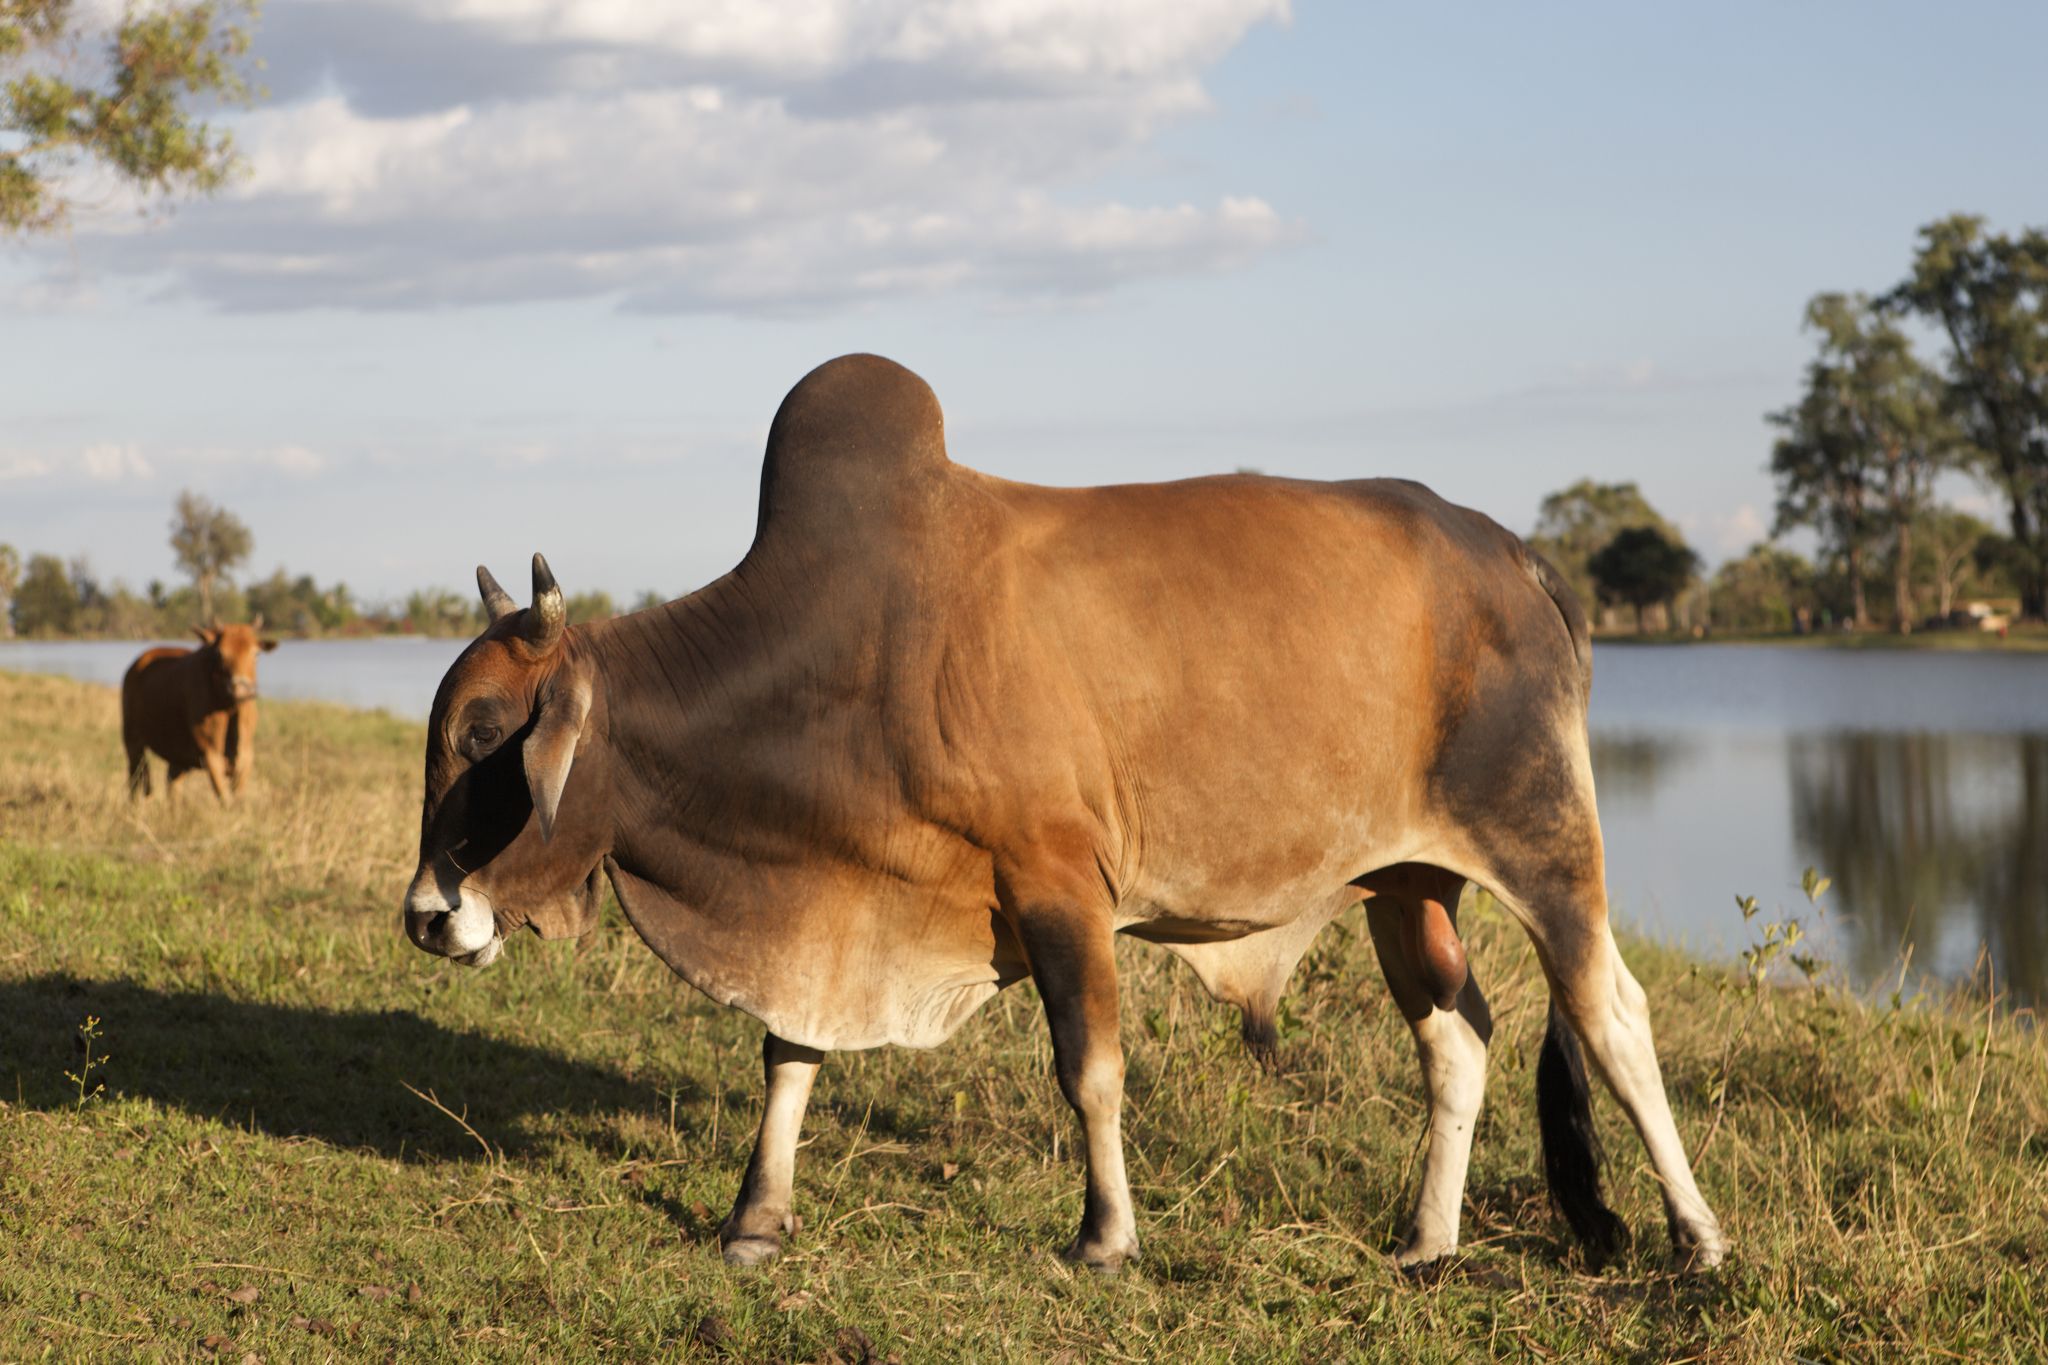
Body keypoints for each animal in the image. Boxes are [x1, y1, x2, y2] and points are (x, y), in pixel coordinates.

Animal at [123, 618, 278, 802]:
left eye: (256, 653)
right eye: (220, 654)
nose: (241, 689)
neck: (230, 707)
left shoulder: (246, 756)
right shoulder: (210, 754)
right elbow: (225, 799)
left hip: (177, 757)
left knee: (172, 786)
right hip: (133, 741)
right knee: (138, 782)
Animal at [399, 356, 1728, 1285]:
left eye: (483, 736)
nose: (423, 918)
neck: (850, 655)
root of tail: (1510, 549)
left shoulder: (1056, 884)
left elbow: (1087, 1067)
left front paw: (1104, 1238)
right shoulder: (834, 911)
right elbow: (790, 1054)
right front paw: (754, 1220)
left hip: (1542, 841)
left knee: (1610, 1017)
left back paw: (1696, 1240)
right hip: (1406, 881)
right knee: (1456, 1039)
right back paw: (1424, 1244)